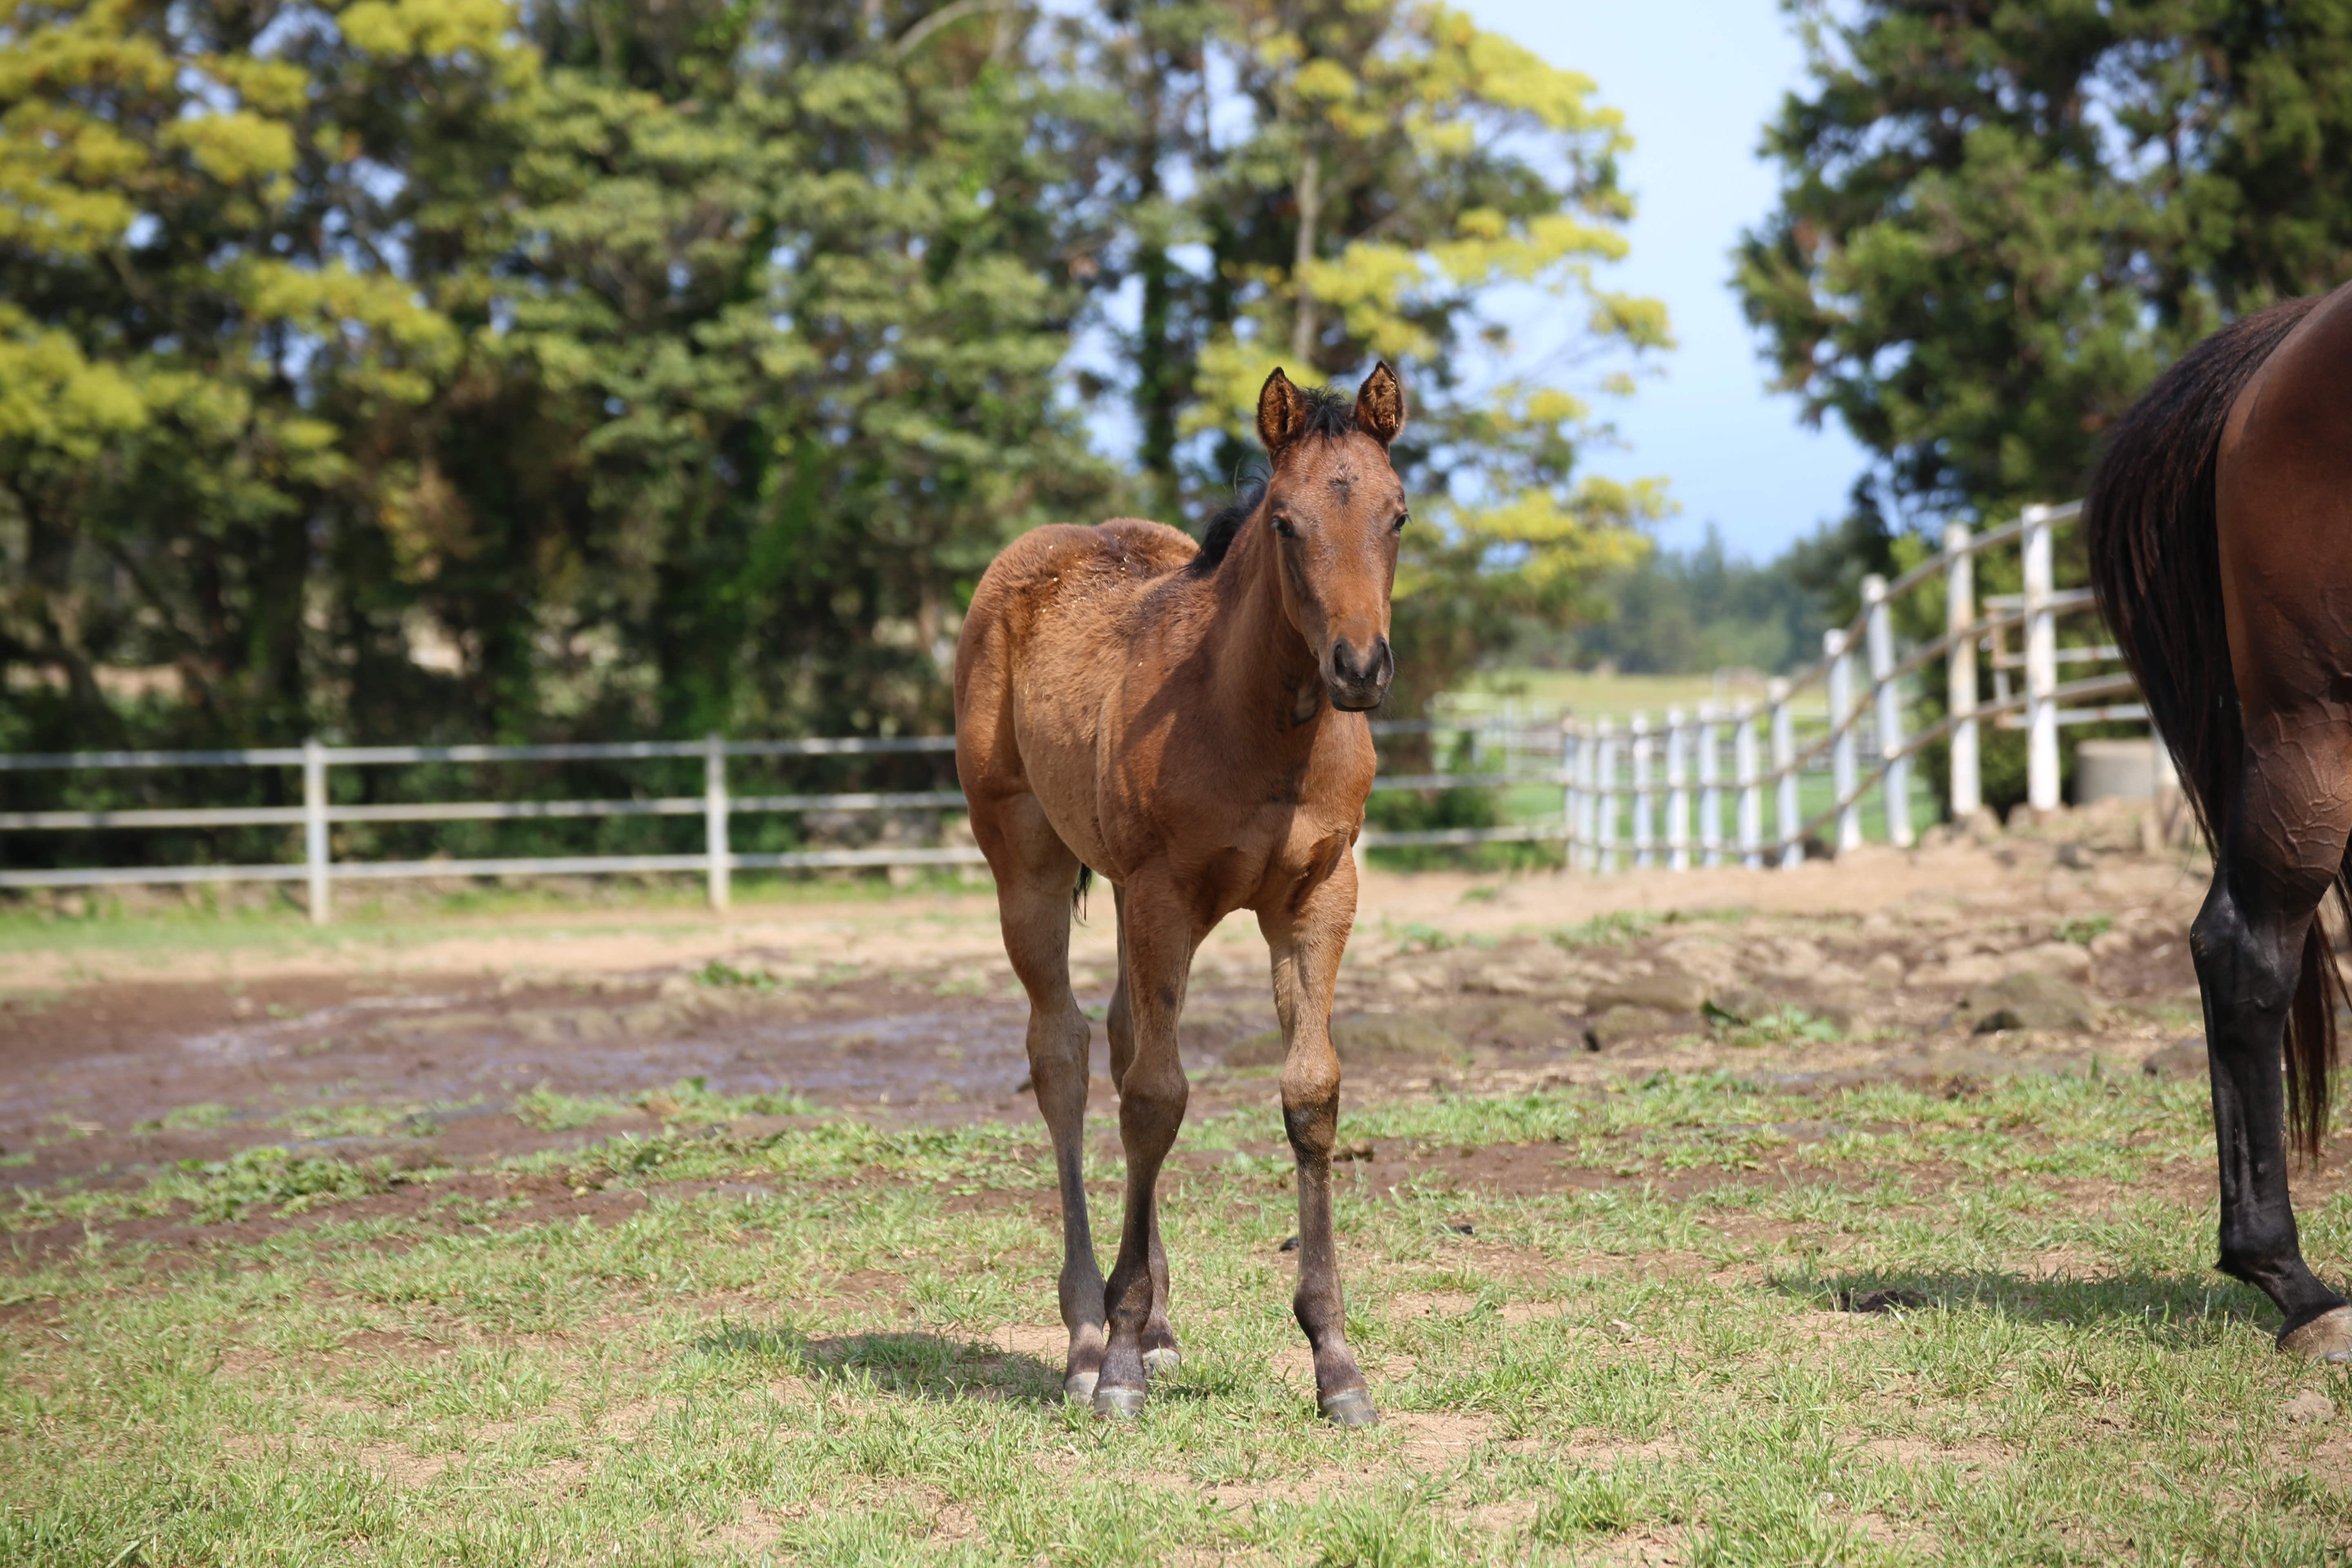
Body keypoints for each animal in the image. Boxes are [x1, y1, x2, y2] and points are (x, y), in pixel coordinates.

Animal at [950, 364, 1401, 1420]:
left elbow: (1309, 1093)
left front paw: (1336, 1362)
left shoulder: (1319, 894)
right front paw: (1115, 1362)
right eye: (1284, 521)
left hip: (1118, 892)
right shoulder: (1163, 892)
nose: (1359, 667)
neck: (1258, 723)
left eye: (1398, 513)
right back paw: (1087, 1333)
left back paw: (1151, 1322)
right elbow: (1156, 1098)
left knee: (1119, 1038)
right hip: (1025, 863)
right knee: (1066, 1056)